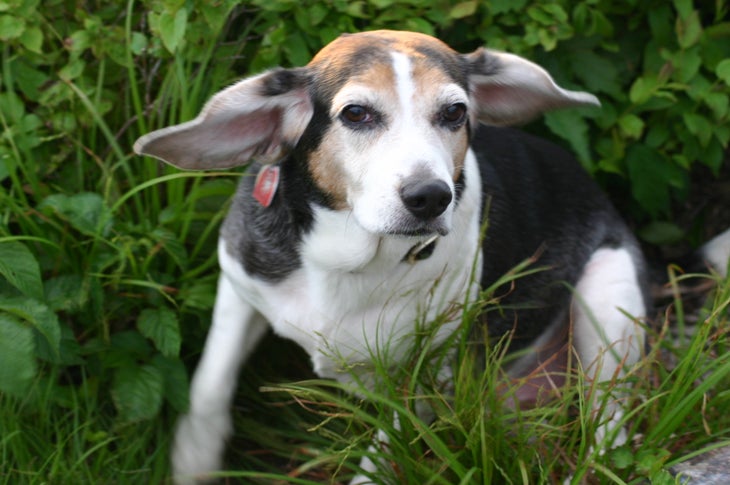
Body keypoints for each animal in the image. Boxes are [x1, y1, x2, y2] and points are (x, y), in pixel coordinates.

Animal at [134, 31, 728, 484]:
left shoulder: (425, 374)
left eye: (455, 112)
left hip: (608, 298)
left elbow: (381, 455)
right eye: (356, 113)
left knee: (609, 426)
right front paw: (192, 461)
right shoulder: (240, 284)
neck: (349, 260)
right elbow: (209, 385)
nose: (429, 197)